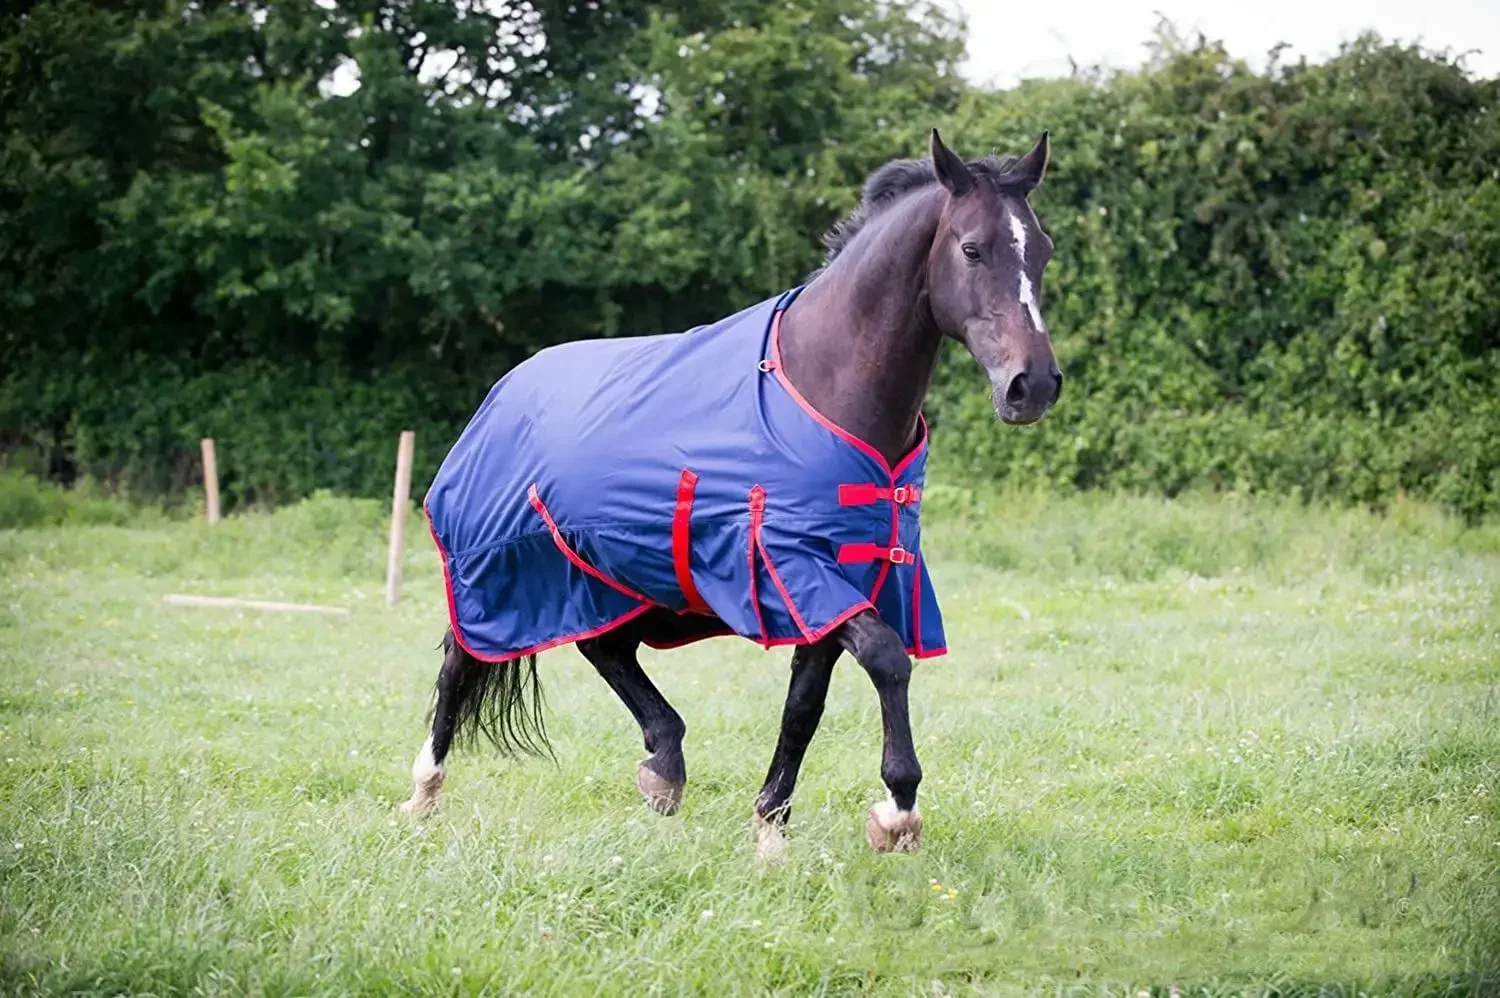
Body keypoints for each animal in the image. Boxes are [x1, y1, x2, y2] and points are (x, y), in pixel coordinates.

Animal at [399, 128, 1056, 858]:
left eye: (1043, 249)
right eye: (971, 248)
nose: (1033, 384)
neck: (823, 383)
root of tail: (505, 389)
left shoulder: (837, 581)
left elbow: (804, 705)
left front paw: (771, 826)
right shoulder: (794, 567)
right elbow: (887, 658)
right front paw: (897, 810)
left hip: (612, 581)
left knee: (604, 648)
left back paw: (664, 766)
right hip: (500, 568)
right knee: (462, 661)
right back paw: (423, 793)